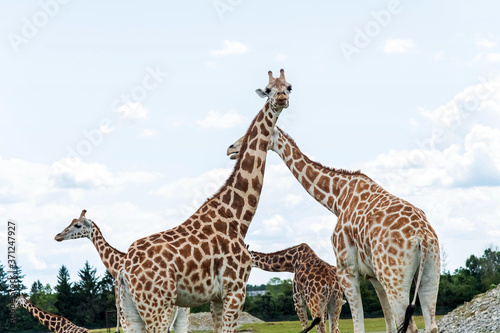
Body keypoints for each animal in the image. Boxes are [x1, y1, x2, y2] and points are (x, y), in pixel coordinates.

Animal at [118, 68, 292, 332]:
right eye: (268, 89)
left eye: (289, 87)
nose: (281, 99)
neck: (238, 216)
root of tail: (124, 272)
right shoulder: (235, 290)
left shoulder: (217, 298)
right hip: (158, 306)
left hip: (129, 311)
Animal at [228, 126, 442, 332]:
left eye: (251, 133)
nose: (231, 148)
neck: (337, 198)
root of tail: (422, 237)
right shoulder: (373, 276)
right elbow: (389, 325)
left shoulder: (347, 270)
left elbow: (358, 327)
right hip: (430, 271)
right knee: (430, 325)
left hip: (394, 278)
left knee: (411, 326)